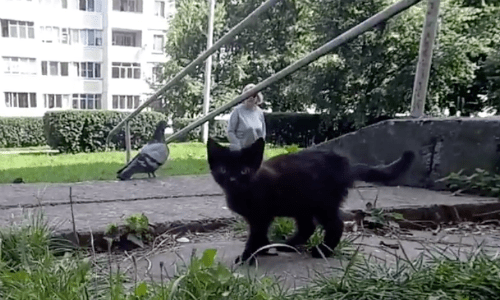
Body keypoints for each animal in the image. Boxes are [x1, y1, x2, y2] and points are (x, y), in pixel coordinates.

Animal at [205, 137, 416, 264]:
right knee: (308, 227)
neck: (245, 191)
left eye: (244, 171)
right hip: (302, 205)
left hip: (323, 204)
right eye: (223, 169)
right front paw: (264, 250)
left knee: (335, 225)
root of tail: (345, 166)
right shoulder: (260, 218)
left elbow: (255, 236)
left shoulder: (260, 217)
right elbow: (261, 236)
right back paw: (288, 244)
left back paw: (323, 250)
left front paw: (247, 257)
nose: (232, 180)